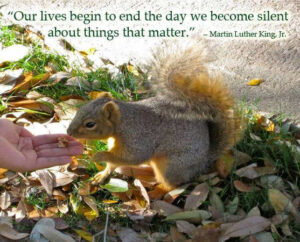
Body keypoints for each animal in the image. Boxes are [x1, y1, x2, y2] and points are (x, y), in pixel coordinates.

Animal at [67, 41, 241, 193]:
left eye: (90, 124)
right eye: (79, 110)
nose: (69, 132)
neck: (124, 122)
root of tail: (205, 160)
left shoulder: (138, 140)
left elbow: (132, 157)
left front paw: (98, 155)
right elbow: (113, 163)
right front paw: (102, 174)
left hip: (172, 165)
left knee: (175, 185)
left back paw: (156, 191)